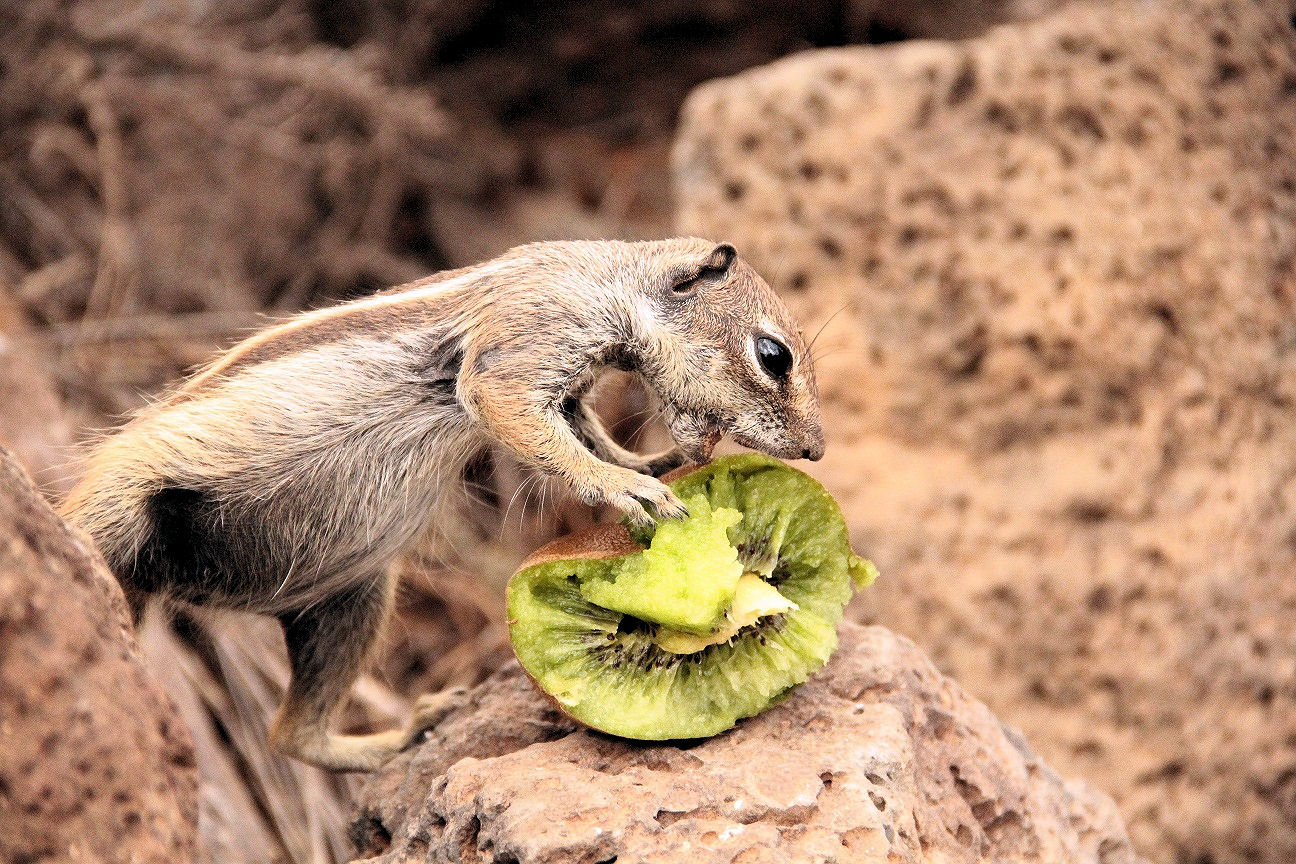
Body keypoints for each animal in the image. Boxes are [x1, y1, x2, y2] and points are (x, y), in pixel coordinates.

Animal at [60, 237, 824, 772]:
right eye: (773, 355)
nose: (815, 449)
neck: (604, 275)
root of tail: (181, 589)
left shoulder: (570, 389)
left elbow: (583, 431)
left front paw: (646, 462)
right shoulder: (525, 342)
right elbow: (529, 421)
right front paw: (627, 486)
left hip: (349, 600)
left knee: (290, 736)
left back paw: (402, 734)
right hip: (129, 506)